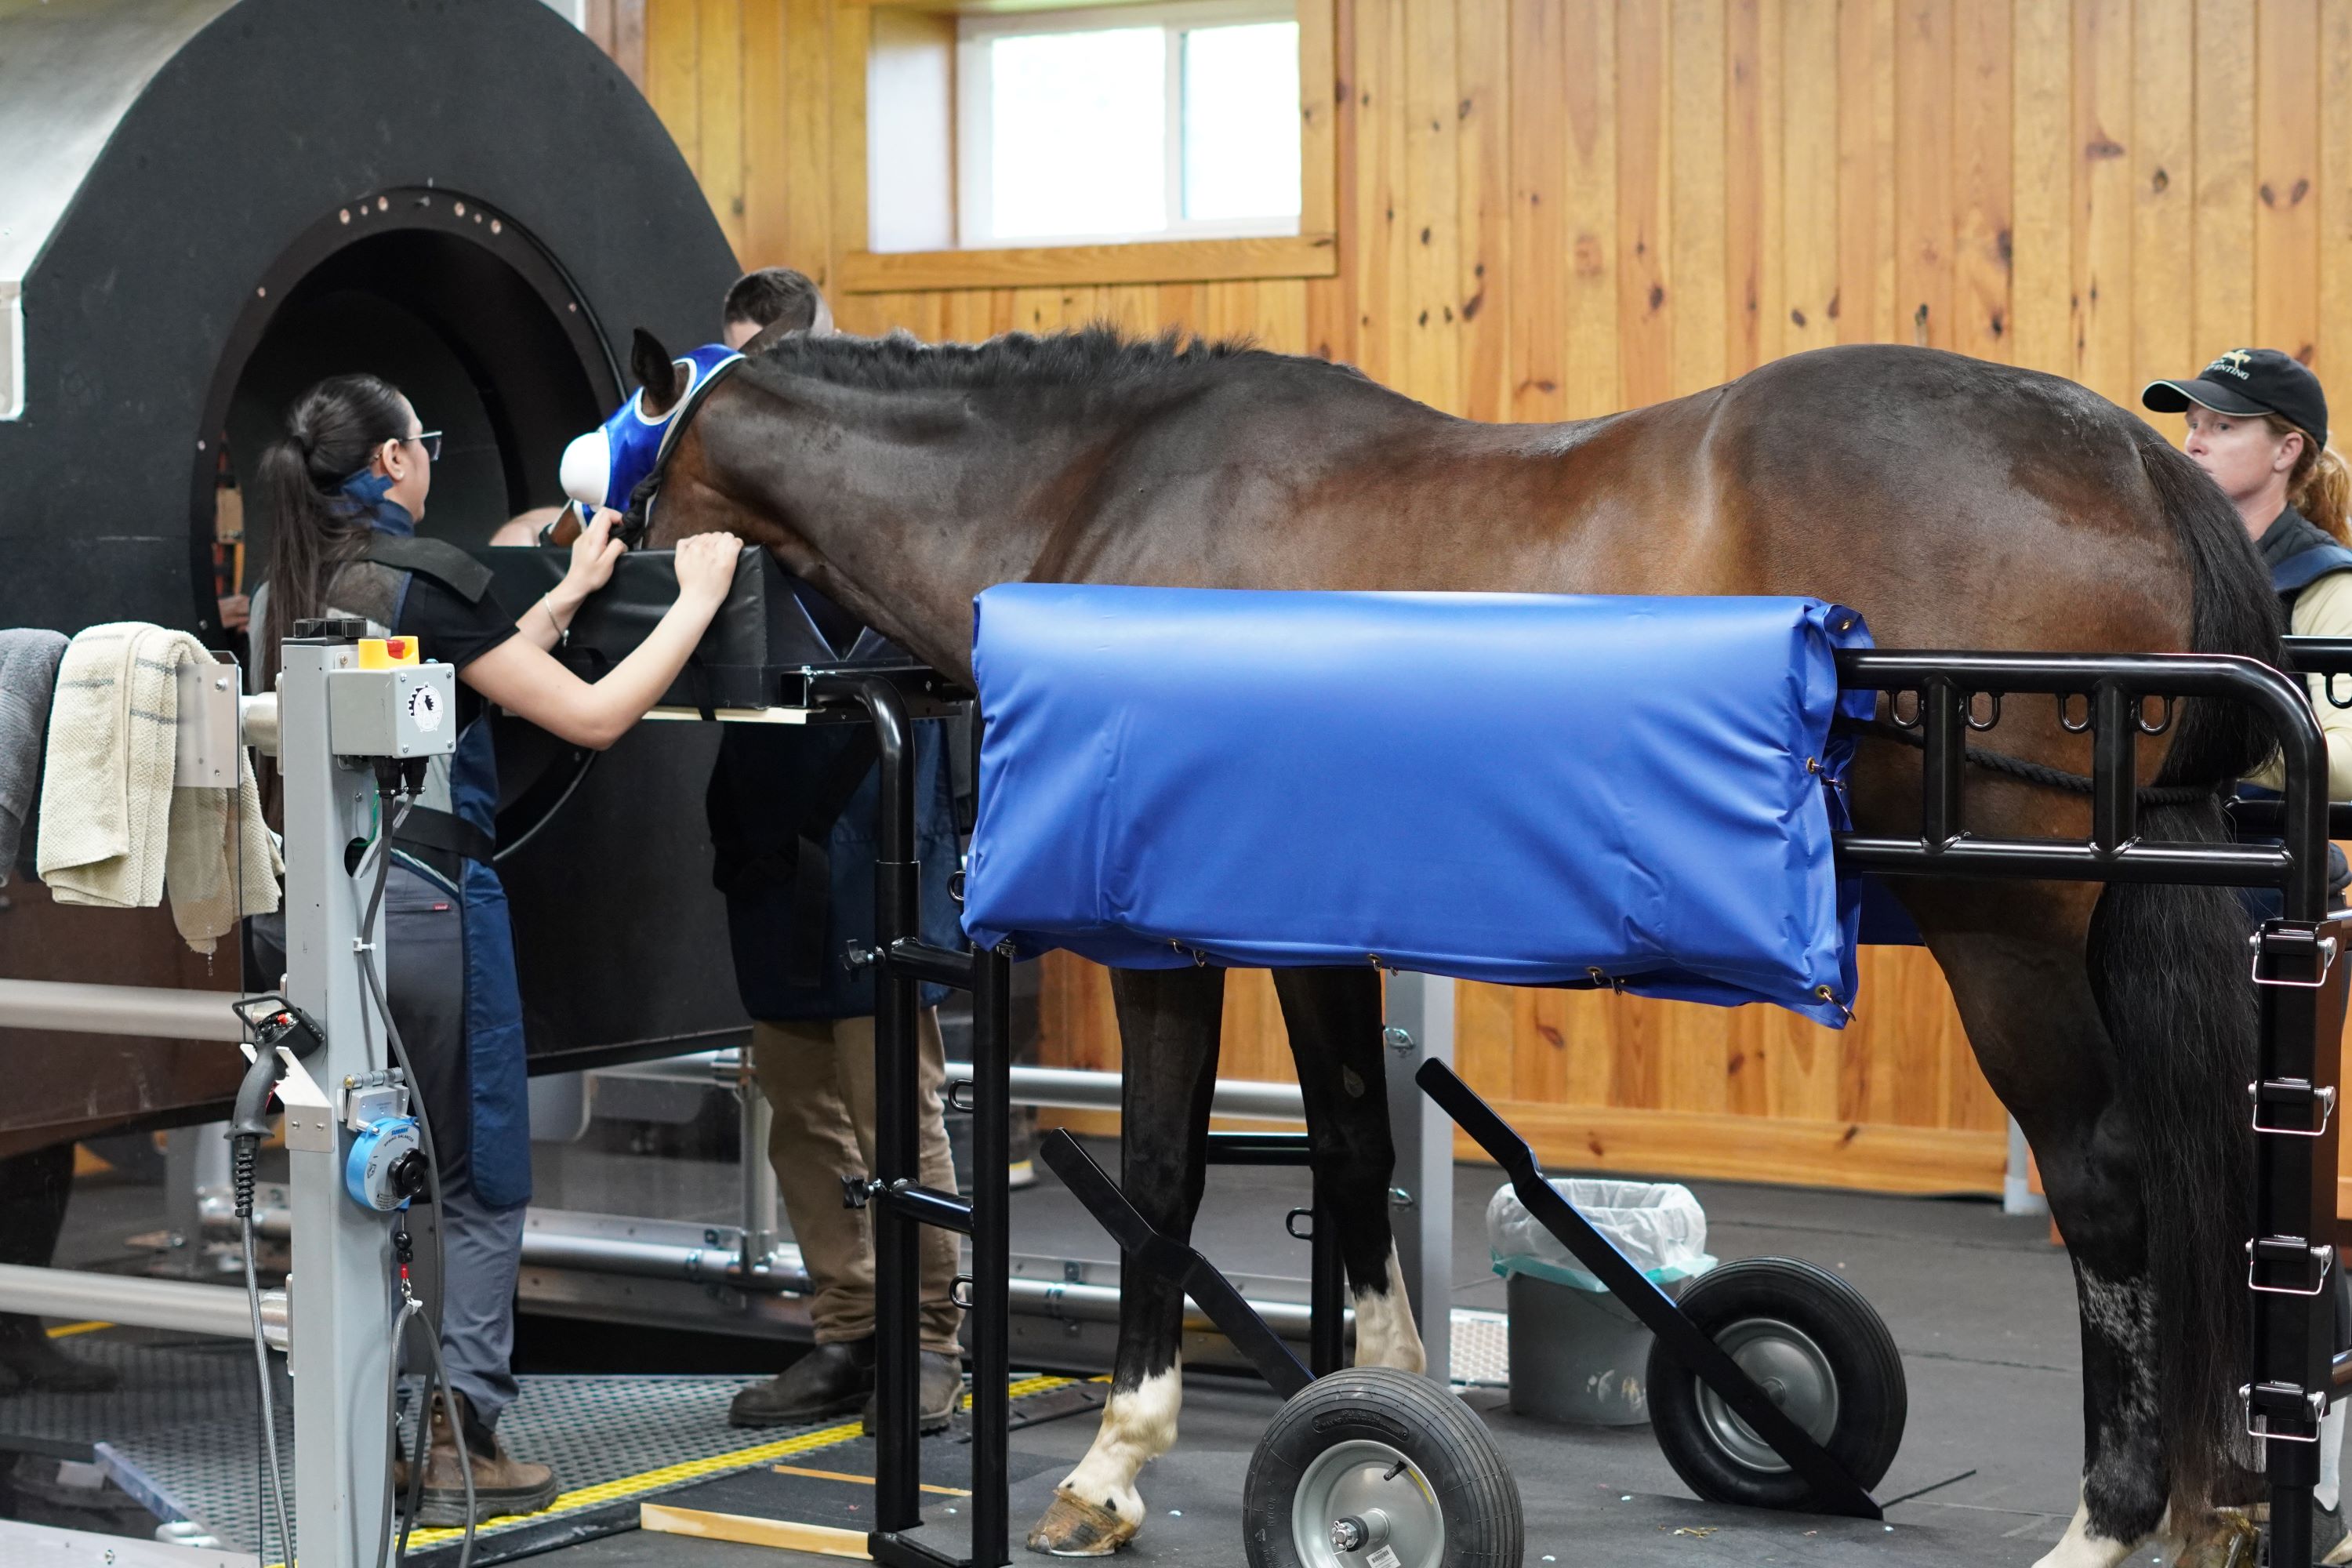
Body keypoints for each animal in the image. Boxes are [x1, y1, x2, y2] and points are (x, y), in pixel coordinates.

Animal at [622, 323, 2281, 1568]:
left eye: (623, 472)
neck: (1100, 494)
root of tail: (2131, 454)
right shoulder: (1309, 929)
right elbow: (1356, 1150)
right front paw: (1382, 1400)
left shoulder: (1163, 939)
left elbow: (1161, 1177)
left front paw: (1114, 1463)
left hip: (2008, 938)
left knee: (2111, 1191)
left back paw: (2110, 1525)